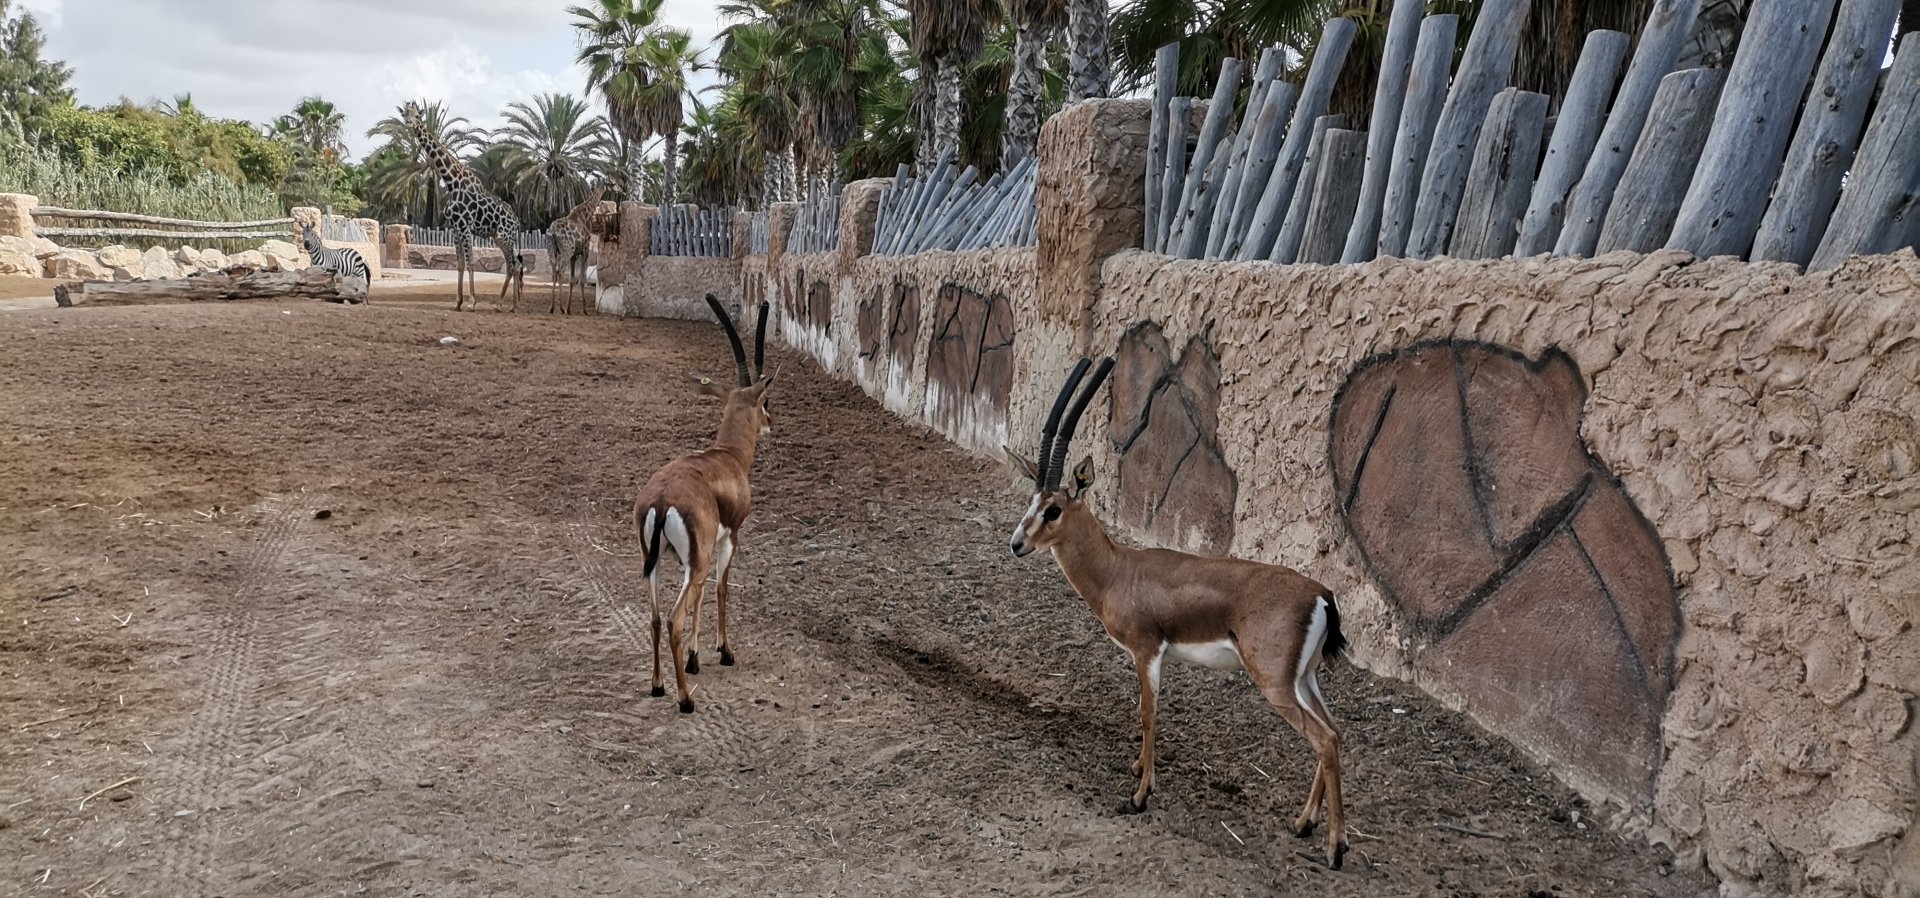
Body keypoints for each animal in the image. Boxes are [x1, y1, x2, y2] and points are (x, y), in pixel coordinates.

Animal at [634, 294, 775, 713]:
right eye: (766, 400)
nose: (771, 422)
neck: (728, 457)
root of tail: (661, 500)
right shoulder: (729, 539)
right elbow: (720, 590)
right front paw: (723, 651)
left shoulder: (697, 555)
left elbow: (698, 599)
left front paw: (695, 660)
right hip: (693, 562)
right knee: (674, 619)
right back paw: (684, 700)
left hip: (656, 563)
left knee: (655, 618)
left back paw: (658, 686)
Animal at [1006, 358, 1352, 869]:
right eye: (1031, 503)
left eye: (1053, 509)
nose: (1016, 544)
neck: (1120, 570)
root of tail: (1322, 594)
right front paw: (1137, 769)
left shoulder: (1146, 651)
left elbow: (1148, 713)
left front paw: (1139, 795)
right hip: (1304, 679)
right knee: (1333, 731)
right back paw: (1303, 824)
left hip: (1275, 684)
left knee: (1323, 738)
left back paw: (1335, 849)